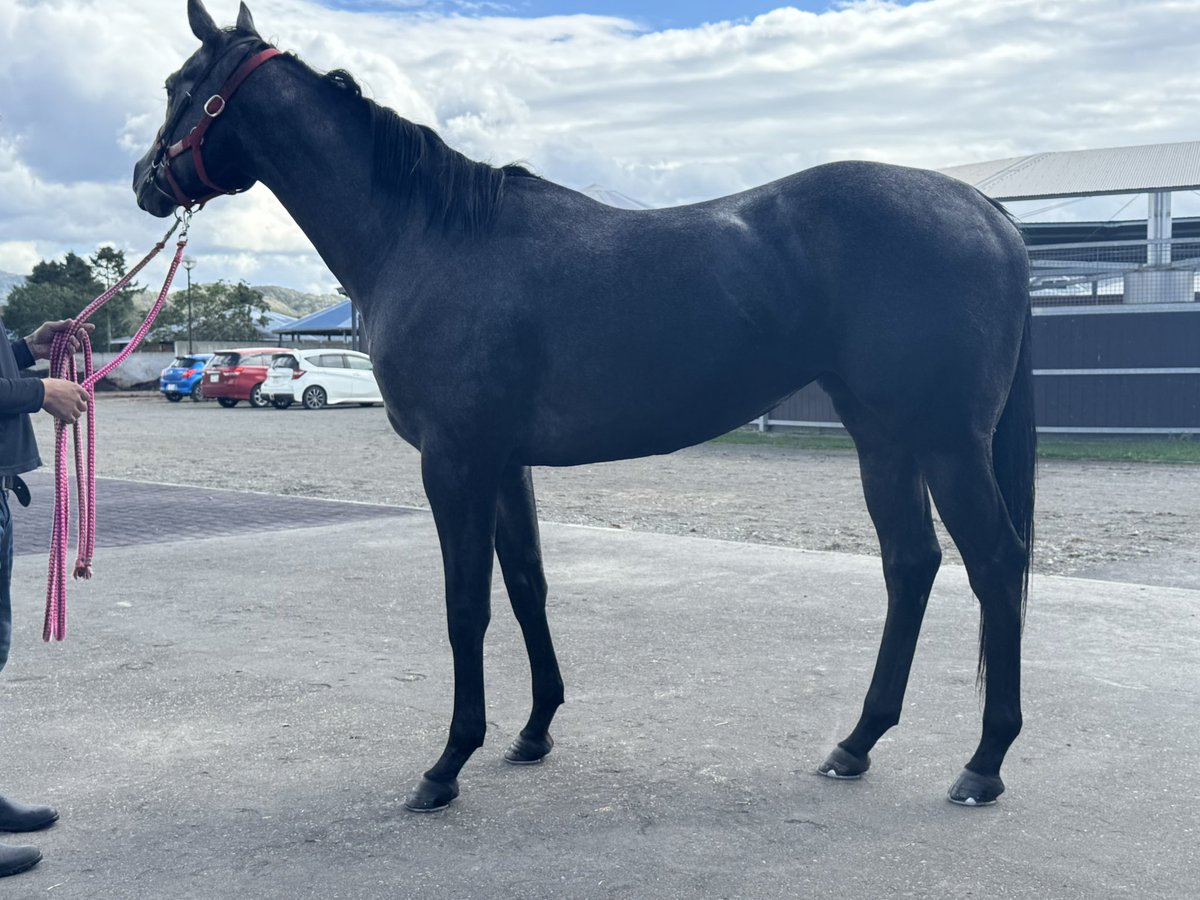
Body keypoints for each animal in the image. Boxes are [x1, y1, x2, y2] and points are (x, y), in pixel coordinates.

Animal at [134, 0, 1035, 813]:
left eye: (181, 84)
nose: (146, 181)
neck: (426, 237)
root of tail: (984, 211)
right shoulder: (504, 463)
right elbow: (527, 585)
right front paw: (534, 731)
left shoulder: (455, 462)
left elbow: (467, 605)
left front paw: (447, 764)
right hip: (885, 439)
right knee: (910, 564)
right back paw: (856, 743)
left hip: (948, 442)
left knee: (995, 563)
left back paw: (984, 764)